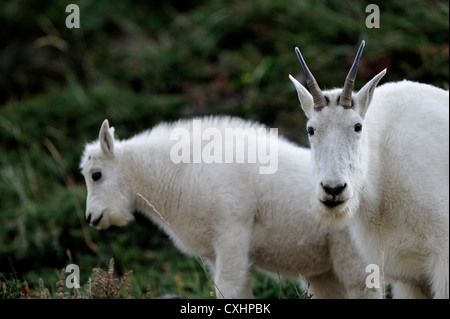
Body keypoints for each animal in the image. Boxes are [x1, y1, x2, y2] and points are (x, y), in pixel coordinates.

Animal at [80, 115, 380, 300]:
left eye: (96, 175)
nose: (93, 217)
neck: (181, 173)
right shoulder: (215, 254)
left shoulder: (232, 234)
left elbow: (228, 289)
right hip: (322, 270)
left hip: (351, 253)